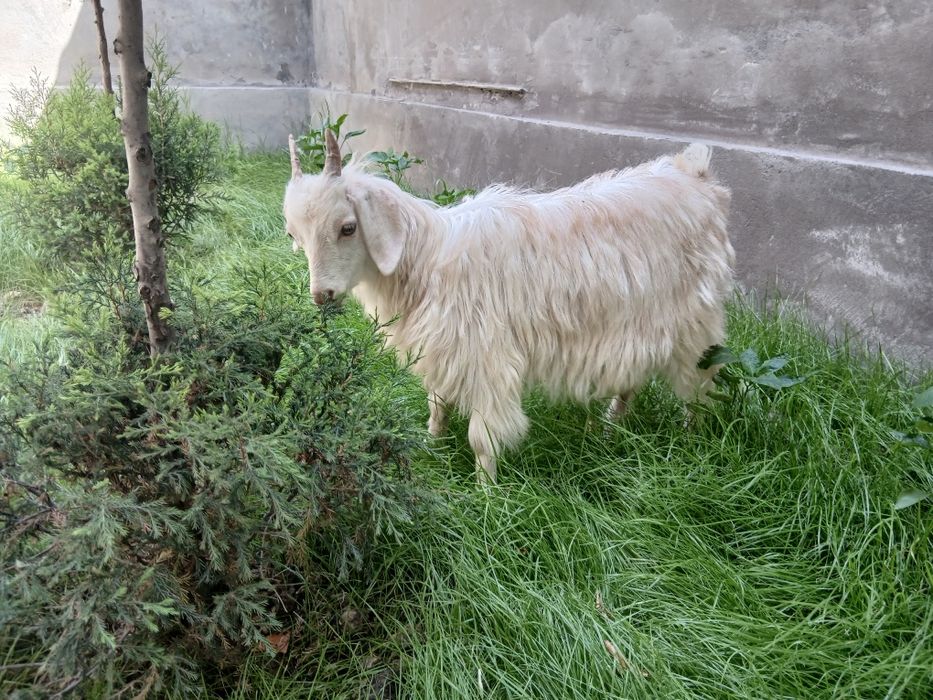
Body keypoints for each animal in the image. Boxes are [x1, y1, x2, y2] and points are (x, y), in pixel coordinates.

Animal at [283, 130, 734, 484]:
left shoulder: (488, 358)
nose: (321, 296)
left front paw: (485, 495)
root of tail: (695, 174)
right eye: (295, 235)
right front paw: (431, 445)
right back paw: (611, 426)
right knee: (632, 377)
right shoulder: (443, 350)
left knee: (699, 384)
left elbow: (482, 436)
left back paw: (691, 437)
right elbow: (437, 404)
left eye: (348, 227)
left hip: (696, 322)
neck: (427, 259)